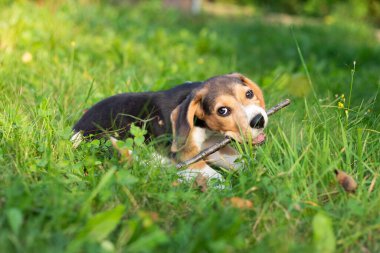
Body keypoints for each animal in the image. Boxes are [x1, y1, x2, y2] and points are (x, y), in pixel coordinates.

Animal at [71, 72, 268, 181]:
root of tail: (75, 129)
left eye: (249, 94)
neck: (204, 129)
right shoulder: (185, 156)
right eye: (223, 111)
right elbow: (213, 175)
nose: (259, 120)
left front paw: (257, 172)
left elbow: (241, 161)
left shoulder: (214, 146)